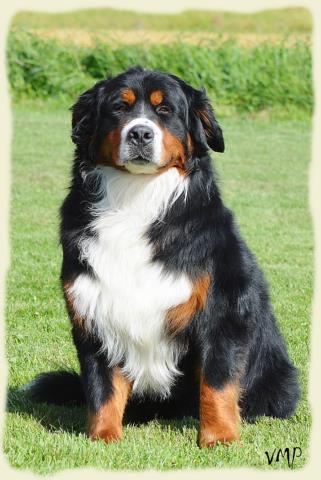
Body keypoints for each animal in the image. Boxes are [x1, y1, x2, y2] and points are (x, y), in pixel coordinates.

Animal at [26, 66, 298, 446]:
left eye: (165, 110)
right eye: (119, 108)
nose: (140, 133)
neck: (136, 198)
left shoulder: (221, 311)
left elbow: (217, 383)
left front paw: (219, 438)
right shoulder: (93, 307)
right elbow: (101, 387)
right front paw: (103, 438)